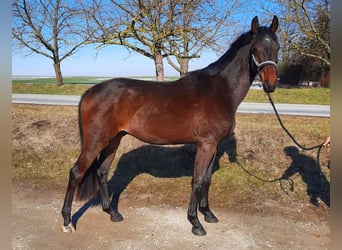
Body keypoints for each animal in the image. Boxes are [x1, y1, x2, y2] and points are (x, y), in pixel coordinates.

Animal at [62, 16, 280, 236]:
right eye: (255, 48)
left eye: (277, 47)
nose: (271, 85)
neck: (219, 90)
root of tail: (90, 92)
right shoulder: (206, 144)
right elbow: (197, 181)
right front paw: (195, 222)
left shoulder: (213, 145)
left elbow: (207, 180)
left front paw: (208, 214)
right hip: (95, 142)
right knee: (76, 172)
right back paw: (67, 222)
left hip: (113, 140)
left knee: (102, 172)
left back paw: (112, 213)